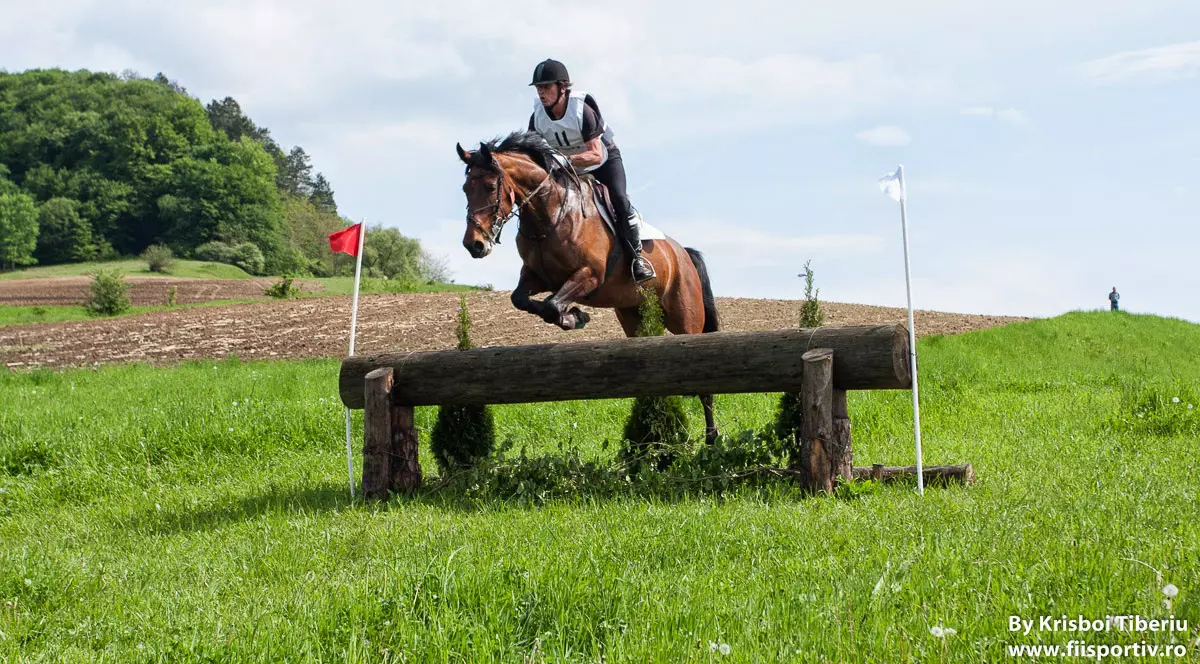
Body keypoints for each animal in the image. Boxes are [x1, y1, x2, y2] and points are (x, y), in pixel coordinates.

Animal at [455, 131, 721, 443]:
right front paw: (575, 316)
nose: (474, 245)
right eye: (465, 189)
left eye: (489, 186)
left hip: (684, 316)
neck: (548, 215)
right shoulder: (537, 276)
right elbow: (521, 300)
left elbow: (551, 305)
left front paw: (574, 317)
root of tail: (683, 254)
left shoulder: (589, 275)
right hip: (634, 316)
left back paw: (711, 437)